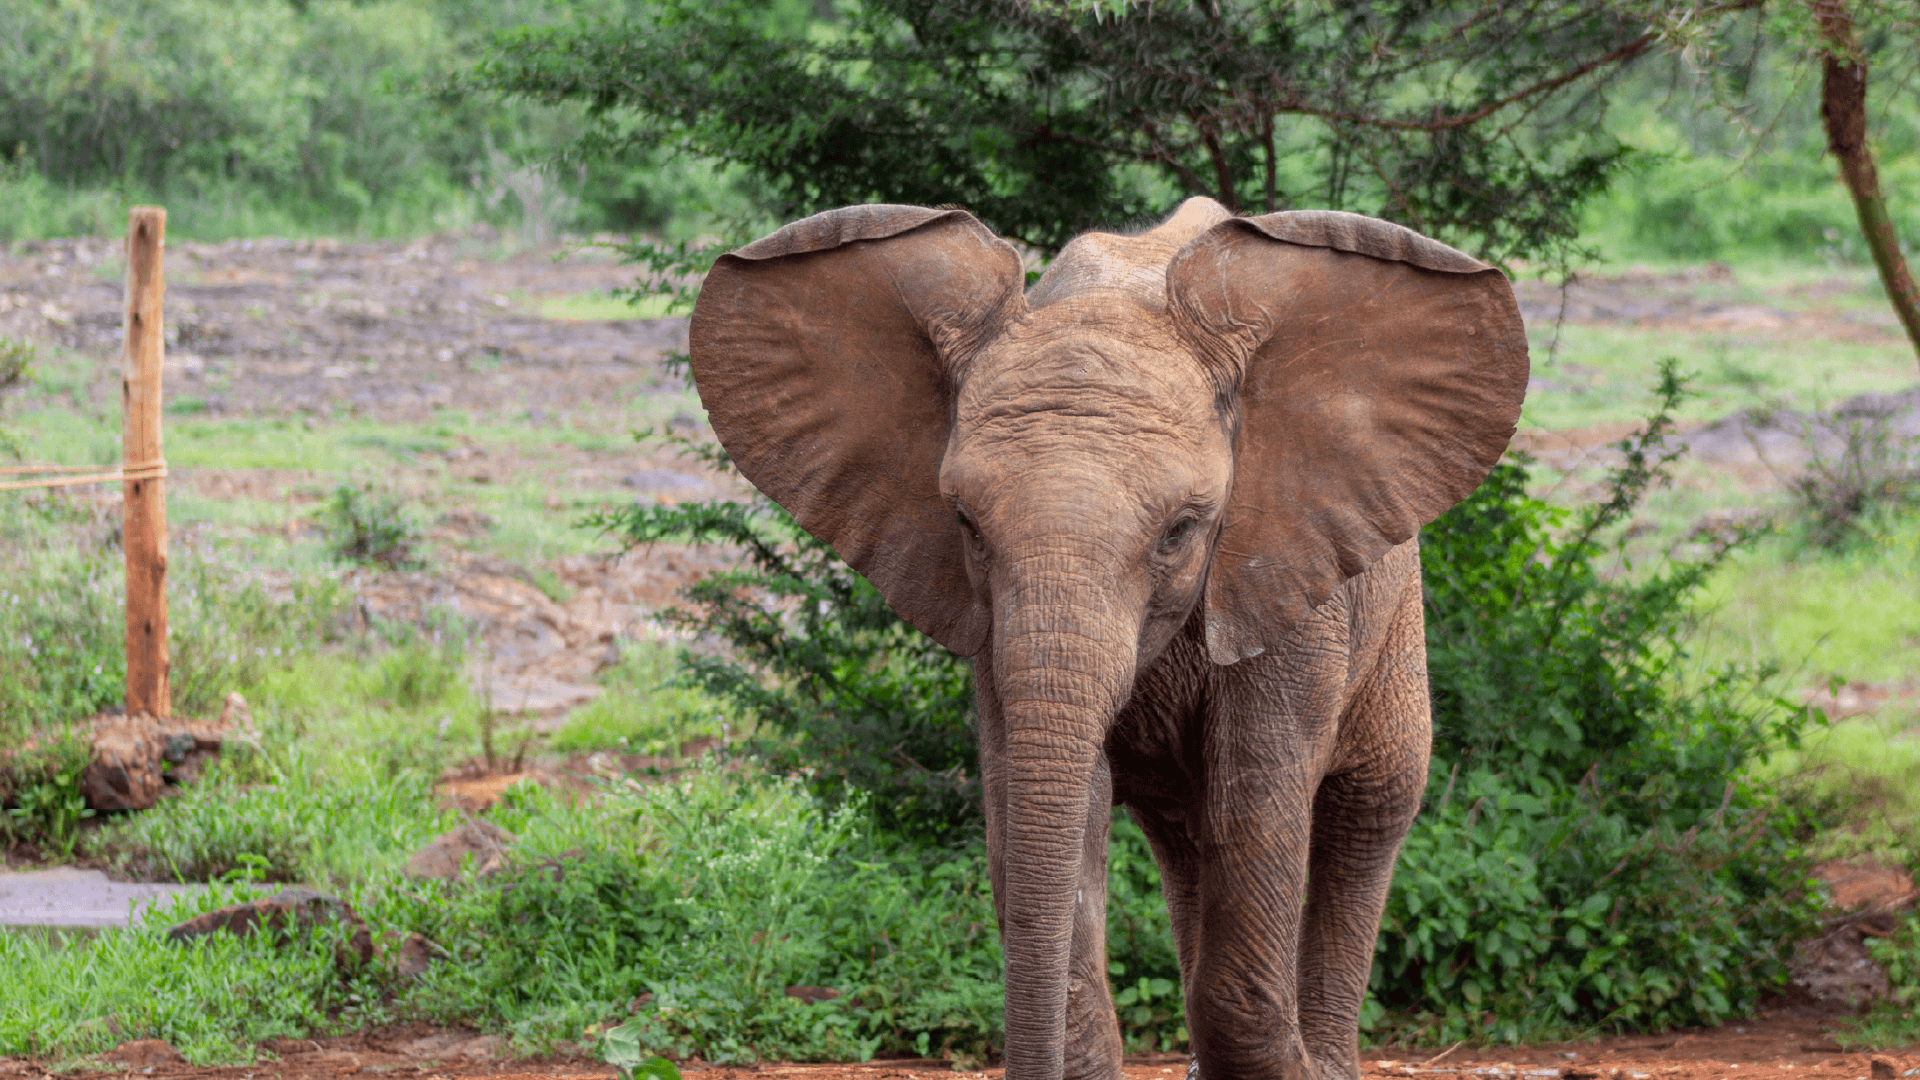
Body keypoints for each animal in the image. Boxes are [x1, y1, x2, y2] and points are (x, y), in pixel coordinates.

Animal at [685, 196, 1528, 1080]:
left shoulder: (1286, 587)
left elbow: (1255, 814)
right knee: (1185, 837)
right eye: (965, 523)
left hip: (1392, 607)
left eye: (1183, 529)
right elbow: (1054, 811)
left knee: (1370, 808)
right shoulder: (992, 625)